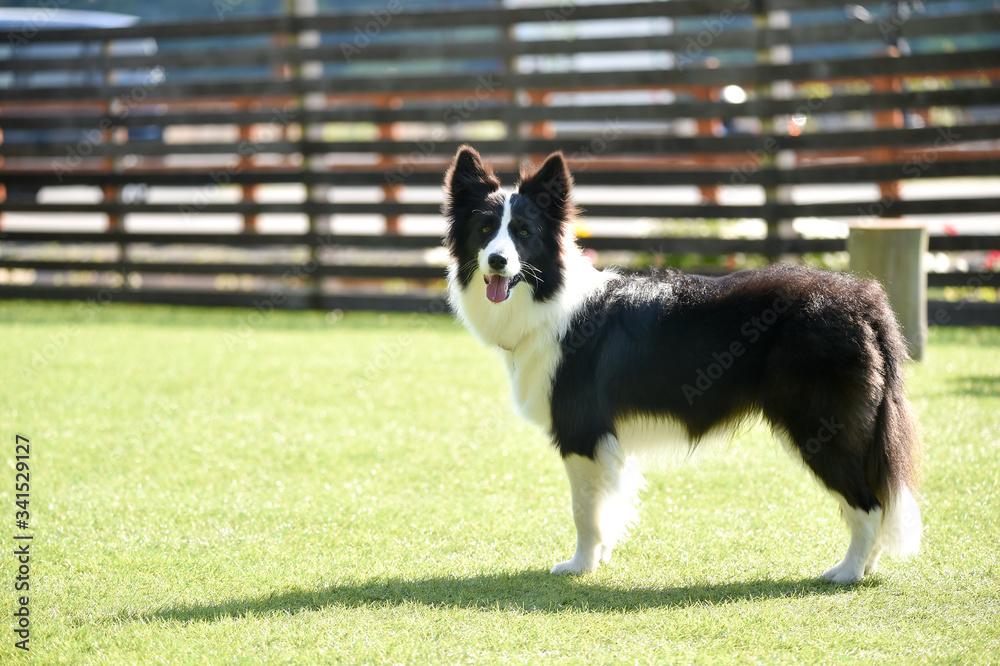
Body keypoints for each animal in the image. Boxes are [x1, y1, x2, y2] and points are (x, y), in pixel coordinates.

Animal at [446, 145, 920, 580]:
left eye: (524, 232)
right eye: (485, 228)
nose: (498, 261)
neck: (549, 300)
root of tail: (864, 299)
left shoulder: (581, 433)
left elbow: (585, 512)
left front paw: (580, 566)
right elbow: (606, 507)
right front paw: (598, 558)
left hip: (822, 425)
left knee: (869, 503)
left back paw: (848, 572)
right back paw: (865, 568)